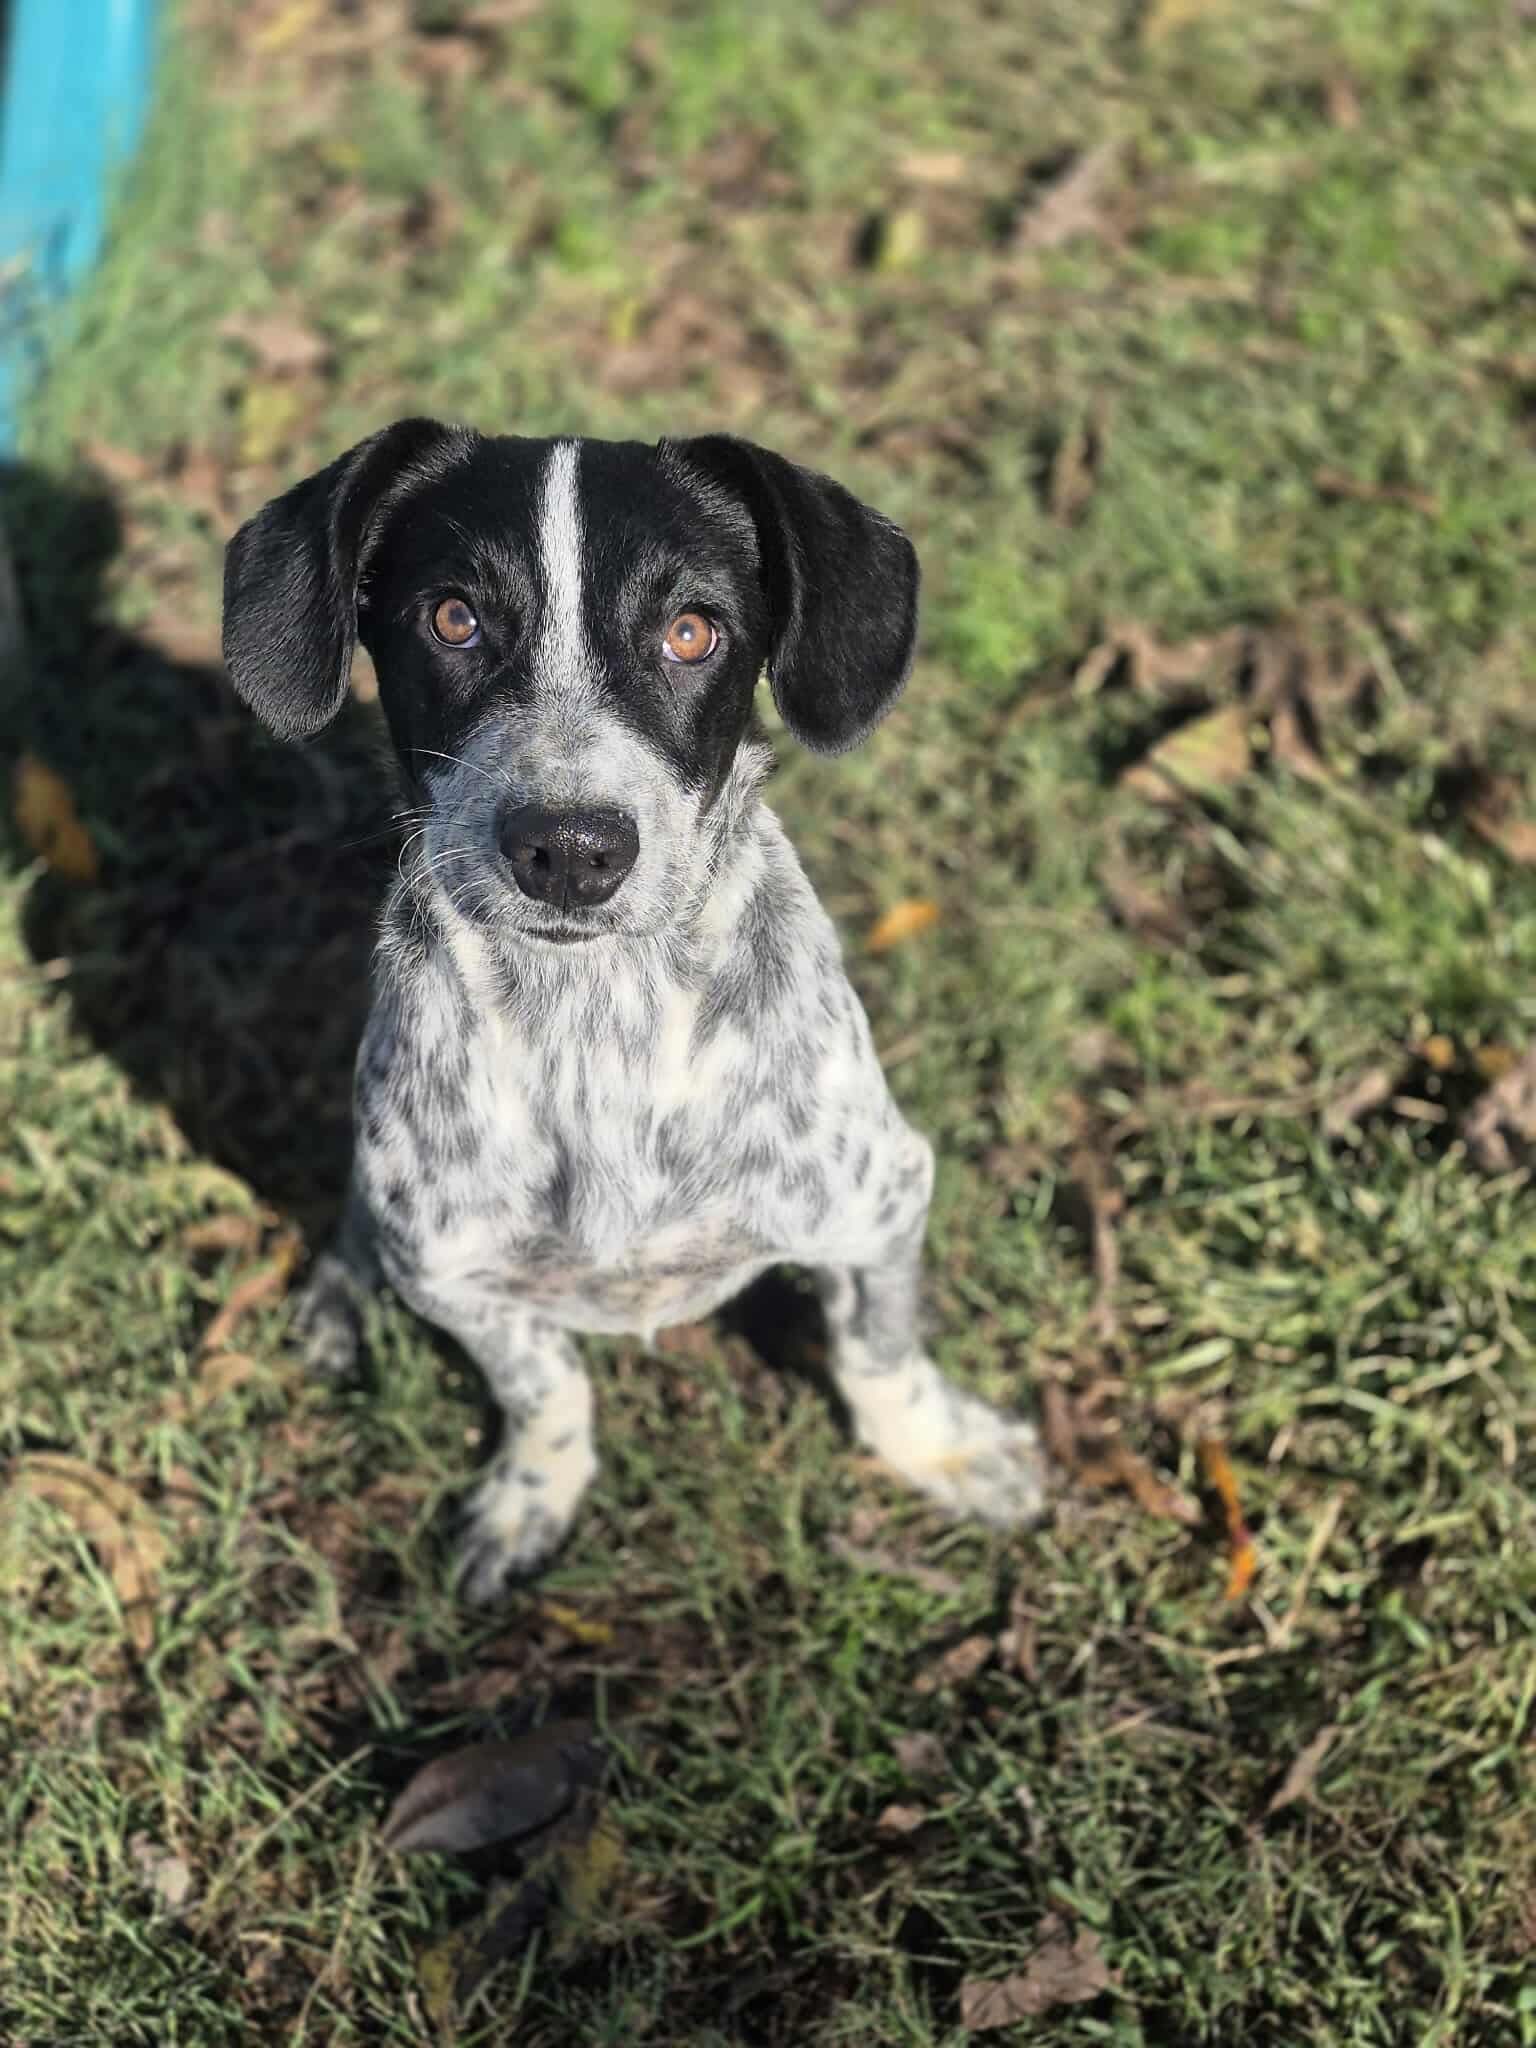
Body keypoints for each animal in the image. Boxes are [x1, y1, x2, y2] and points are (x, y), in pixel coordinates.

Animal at [222, 421, 1045, 1601]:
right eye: (454, 618)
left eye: (691, 630)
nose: (571, 849)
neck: (595, 1024)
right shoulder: (456, 1272)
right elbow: (546, 1386)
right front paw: (534, 1494)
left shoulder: (881, 1199)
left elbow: (881, 1358)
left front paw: (946, 1453)